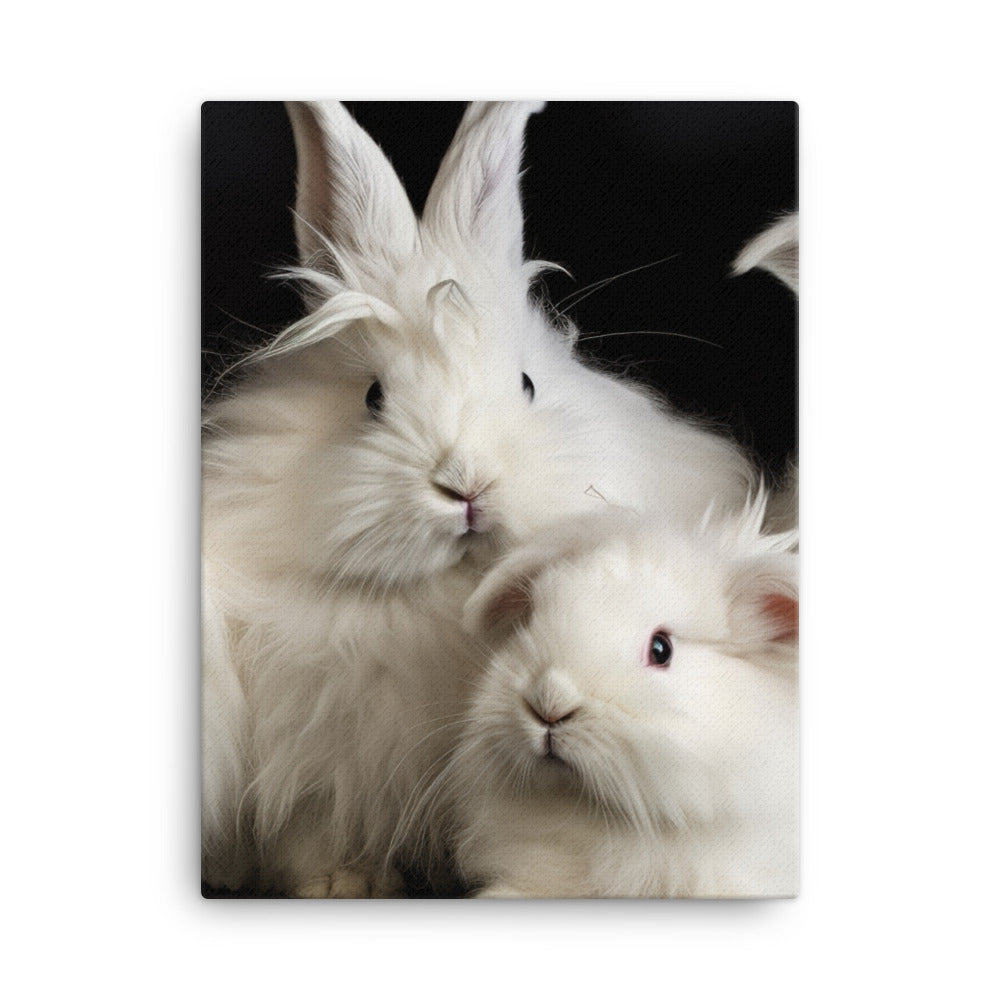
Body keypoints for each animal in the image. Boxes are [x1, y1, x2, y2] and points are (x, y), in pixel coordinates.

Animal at [201, 101, 758, 896]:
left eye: (526, 384)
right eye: (373, 397)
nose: (466, 484)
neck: (444, 597)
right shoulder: (309, 754)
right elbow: (310, 830)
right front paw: (341, 883)